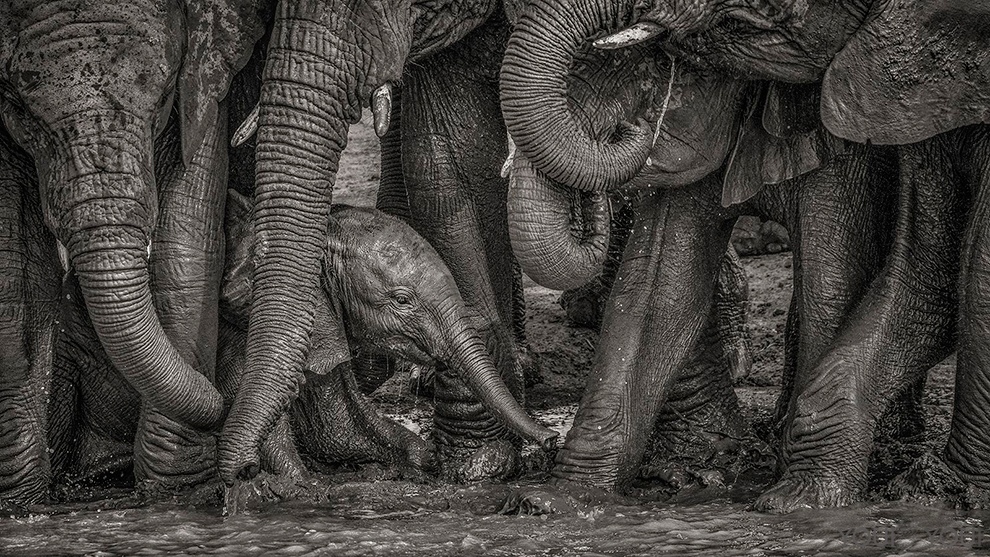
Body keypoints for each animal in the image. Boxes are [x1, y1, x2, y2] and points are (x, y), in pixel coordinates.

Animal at [0, 0, 266, 505]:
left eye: (162, 97)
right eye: (20, 111)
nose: (246, 469)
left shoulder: (200, 84)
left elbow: (187, 232)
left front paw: (176, 494)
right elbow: (10, 263)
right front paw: (20, 501)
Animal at [48, 189, 556, 493]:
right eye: (402, 300)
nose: (551, 440)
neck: (321, 232)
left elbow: (341, 425)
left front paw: (416, 462)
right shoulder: (240, 331)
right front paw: (298, 492)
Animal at [500, 0, 976, 511]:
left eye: (651, 73)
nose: (630, 130)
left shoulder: (835, 139)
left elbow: (831, 278)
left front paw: (798, 496)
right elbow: (657, 289)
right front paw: (557, 499)